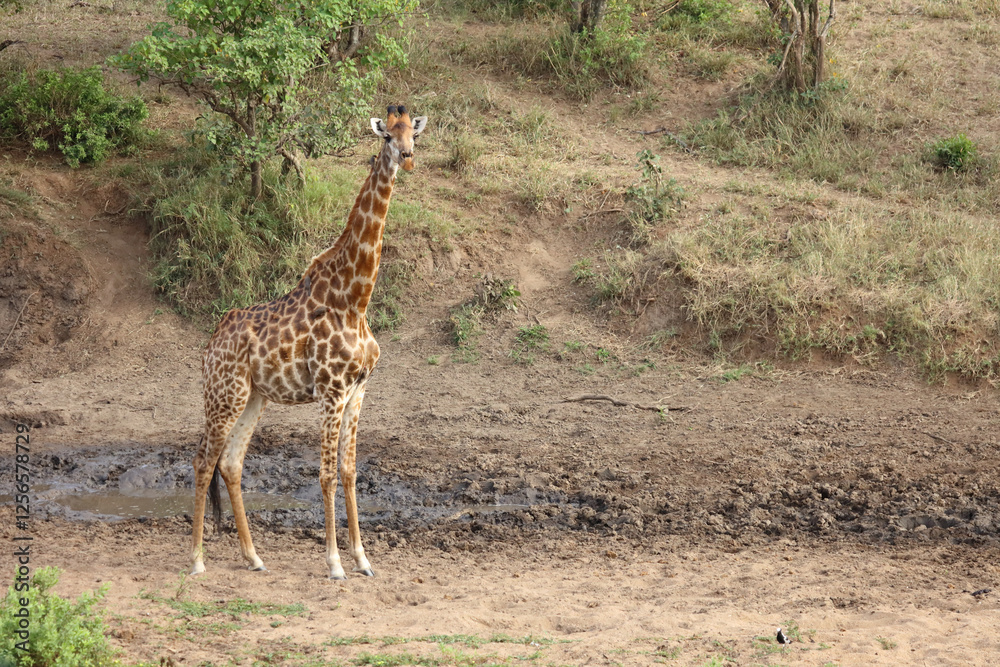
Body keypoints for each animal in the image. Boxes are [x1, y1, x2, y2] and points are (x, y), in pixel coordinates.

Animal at [190, 105, 428, 579]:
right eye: (387, 137)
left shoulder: (359, 391)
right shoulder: (331, 391)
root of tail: (211, 342)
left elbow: (350, 471)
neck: (355, 299)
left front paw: (363, 559)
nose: (407, 159)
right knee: (204, 460)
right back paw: (196, 560)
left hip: (254, 397)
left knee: (231, 461)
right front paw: (334, 563)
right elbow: (326, 474)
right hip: (224, 395)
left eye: (414, 134)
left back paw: (253, 557)